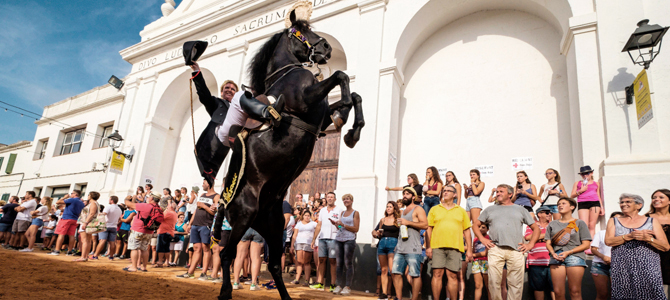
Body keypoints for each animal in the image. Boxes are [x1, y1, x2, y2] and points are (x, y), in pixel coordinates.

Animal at [213, 9, 364, 300]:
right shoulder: (305, 100)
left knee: (273, 263)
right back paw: (225, 290)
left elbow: (354, 94)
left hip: (273, 227)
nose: (326, 47)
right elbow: (342, 77)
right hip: (245, 217)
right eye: (299, 31)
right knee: (226, 254)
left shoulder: (318, 117)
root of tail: (224, 204)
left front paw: (352, 132)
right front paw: (346, 120)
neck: (288, 75)